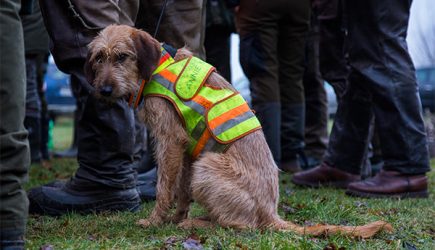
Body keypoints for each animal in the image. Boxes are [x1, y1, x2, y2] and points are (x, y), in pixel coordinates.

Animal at [84, 24, 392, 238]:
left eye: (122, 57)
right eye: (99, 58)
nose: (104, 90)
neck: (157, 66)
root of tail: (271, 213)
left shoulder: (170, 141)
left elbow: (164, 188)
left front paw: (155, 221)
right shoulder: (186, 150)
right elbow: (181, 191)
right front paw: (174, 217)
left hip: (207, 167)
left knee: (241, 225)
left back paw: (198, 223)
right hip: (201, 164)